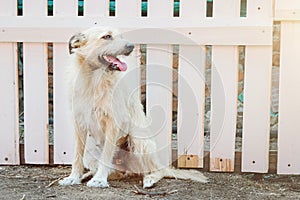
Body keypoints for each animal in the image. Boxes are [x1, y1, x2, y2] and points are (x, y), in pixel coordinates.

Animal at [59, 27, 209, 189]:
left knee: (158, 170)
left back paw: (149, 179)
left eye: (120, 36)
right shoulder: (79, 122)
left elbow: (106, 155)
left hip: (138, 140)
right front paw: (74, 177)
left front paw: (99, 179)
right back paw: (89, 175)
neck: (94, 80)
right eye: (107, 36)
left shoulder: (113, 122)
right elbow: (77, 155)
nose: (131, 46)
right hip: (91, 150)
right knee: (116, 172)